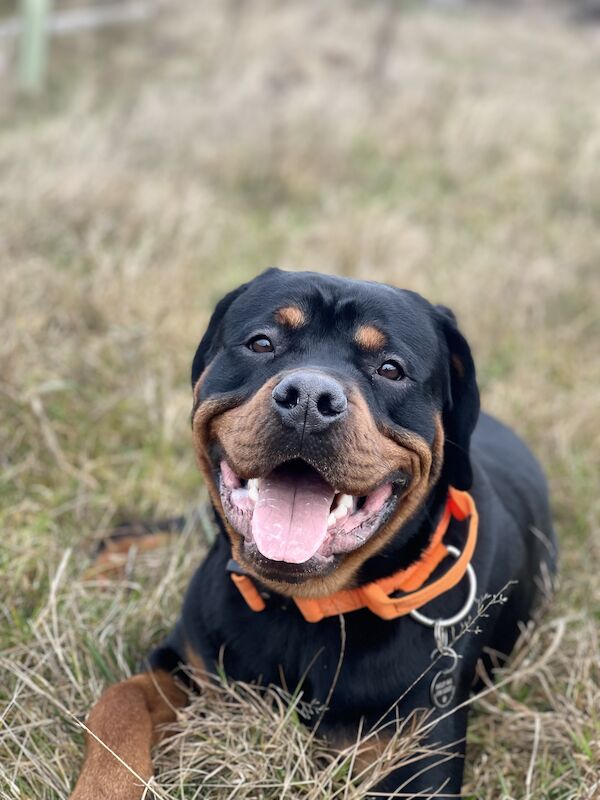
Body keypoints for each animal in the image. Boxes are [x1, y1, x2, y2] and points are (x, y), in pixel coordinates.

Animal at [71, 270, 556, 800]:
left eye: (391, 369)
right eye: (262, 343)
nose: (308, 398)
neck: (302, 609)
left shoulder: (419, 752)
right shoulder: (184, 663)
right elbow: (118, 703)